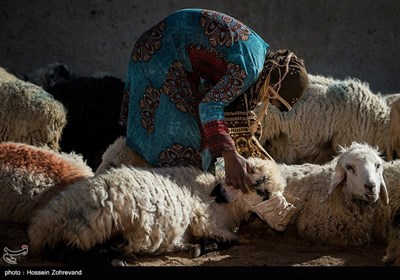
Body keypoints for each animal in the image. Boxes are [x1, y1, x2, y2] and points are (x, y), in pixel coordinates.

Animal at [26, 156, 290, 262]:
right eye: (263, 191)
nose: (284, 221)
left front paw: (191, 246)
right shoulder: (207, 221)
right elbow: (230, 239)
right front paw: (200, 247)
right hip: (94, 223)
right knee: (71, 250)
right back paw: (116, 258)